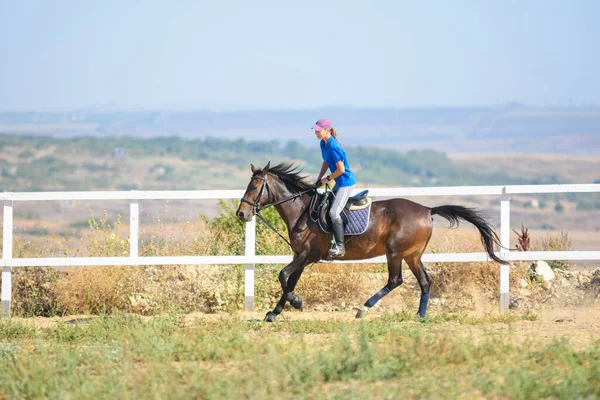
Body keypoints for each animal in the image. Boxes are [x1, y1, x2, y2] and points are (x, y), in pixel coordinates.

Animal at [236, 161, 506, 320]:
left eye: (255, 187)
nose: (241, 214)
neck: (302, 211)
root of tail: (427, 209)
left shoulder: (306, 256)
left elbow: (283, 276)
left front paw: (296, 303)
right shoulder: (299, 256)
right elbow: (289, 280)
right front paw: (275, 312)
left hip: (395, 252)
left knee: (395, 280)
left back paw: (363, 308)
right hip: (412, 255)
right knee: (425, 281)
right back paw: (420, 315)